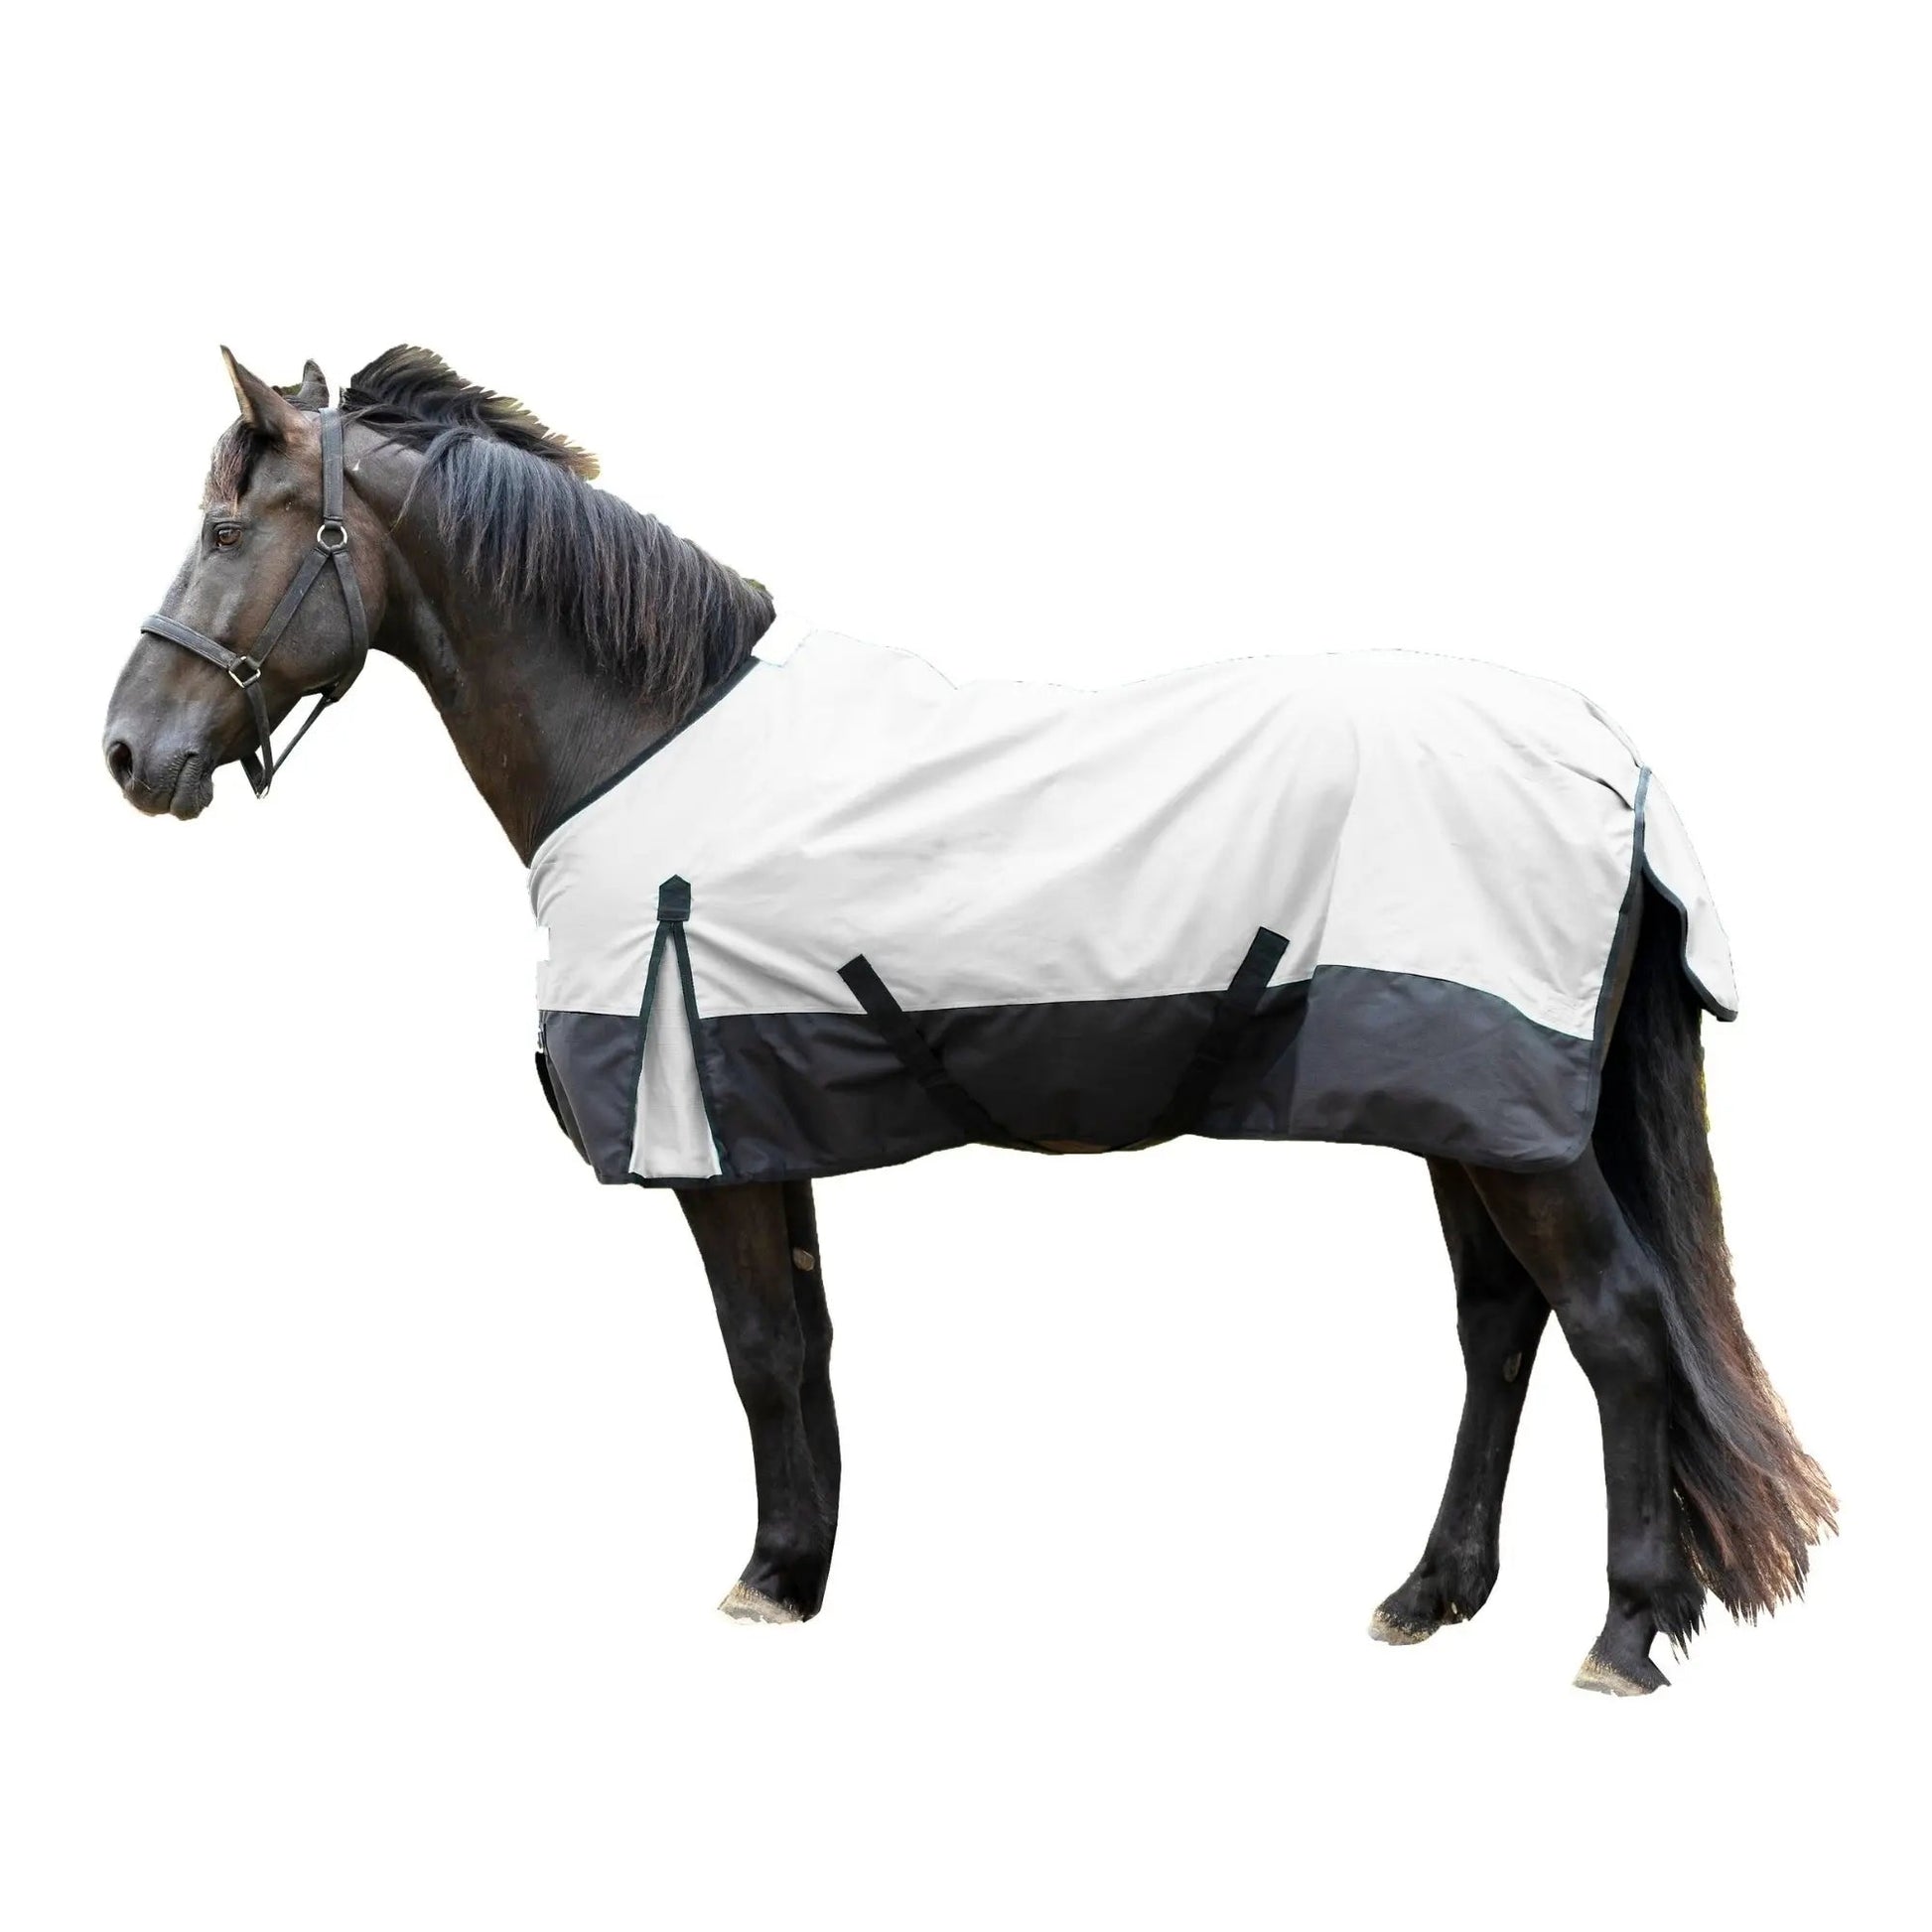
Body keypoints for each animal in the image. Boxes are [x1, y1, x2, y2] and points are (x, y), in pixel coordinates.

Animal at [102, 346, 1834, 1694]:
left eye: (222, 528)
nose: (127, 751)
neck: (648, 736)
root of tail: (1607, 754)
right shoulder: (760, 1119)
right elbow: (800, 1345)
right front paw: (798, 1567)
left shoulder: (706, 1127)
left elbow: (757, 1349)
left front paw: (765, 1579)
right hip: (1462, 1114)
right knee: (1500, 1328)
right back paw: (1431, 1595)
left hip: (1513, 1128)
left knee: (1615, 1326)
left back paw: (1621, 1632)